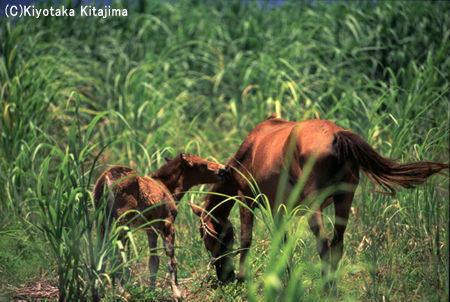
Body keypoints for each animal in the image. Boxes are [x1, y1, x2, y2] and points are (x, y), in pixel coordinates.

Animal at [94, 155, 229, 300]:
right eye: (203, 164)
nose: (223, 169)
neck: (168, 187)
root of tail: (106, 179)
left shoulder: (151, 230)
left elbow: (153, 261)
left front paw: (152, 291)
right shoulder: (168, 225)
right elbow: (172, 260)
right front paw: (177, 293)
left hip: (102, 223)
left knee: (100, 254)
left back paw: (99, 291)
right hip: (122, 223)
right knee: (117, 256)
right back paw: (123, 292)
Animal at [189, 116, 446, 286]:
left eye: (206, 237)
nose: (224, 276)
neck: (250, 149)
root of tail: (336, 136)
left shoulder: (248, 199)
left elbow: (247, 238)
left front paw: (244, 278)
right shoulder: (280, 208)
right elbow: (283, 241)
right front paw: (286, 277)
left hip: (315, 206)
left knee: (323, 245)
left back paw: (325, 288)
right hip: (344, 200)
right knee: (337, 245)